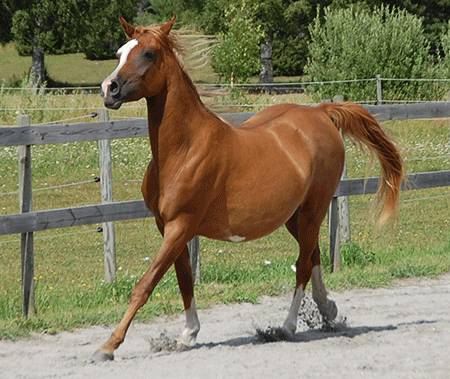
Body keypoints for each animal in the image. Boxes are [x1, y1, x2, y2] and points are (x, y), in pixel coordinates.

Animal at [93, 14, 402, 360]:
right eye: (120, 52)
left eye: (148, 53)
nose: (109, 88)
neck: (184, 149)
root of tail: (320, 112)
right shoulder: (169, 228)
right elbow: (185, 280)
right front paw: (187, 334)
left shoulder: (180, 225)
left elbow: (145, 286)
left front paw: (108, 345)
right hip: (294, 217)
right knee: (314, 255)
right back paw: (328, 311)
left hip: (314, 209)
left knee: (302, 265)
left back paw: (287, 327)